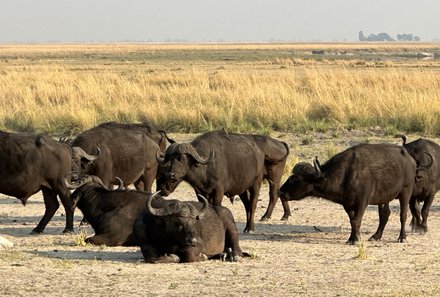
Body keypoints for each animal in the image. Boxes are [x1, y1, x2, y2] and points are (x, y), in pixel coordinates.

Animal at [278, 143, 426, 243]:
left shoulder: (362, 202)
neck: (346, 174)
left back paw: (402, 237)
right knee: (384, 215)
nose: (280, 191)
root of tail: (411, 160)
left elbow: (357, 220)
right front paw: (353, 237)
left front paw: (355, 239)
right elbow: (352, 221)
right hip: (385, 197)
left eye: (296, 178)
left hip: (406, 191)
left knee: (403, 215)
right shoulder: (347, 204)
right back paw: (376, 236)